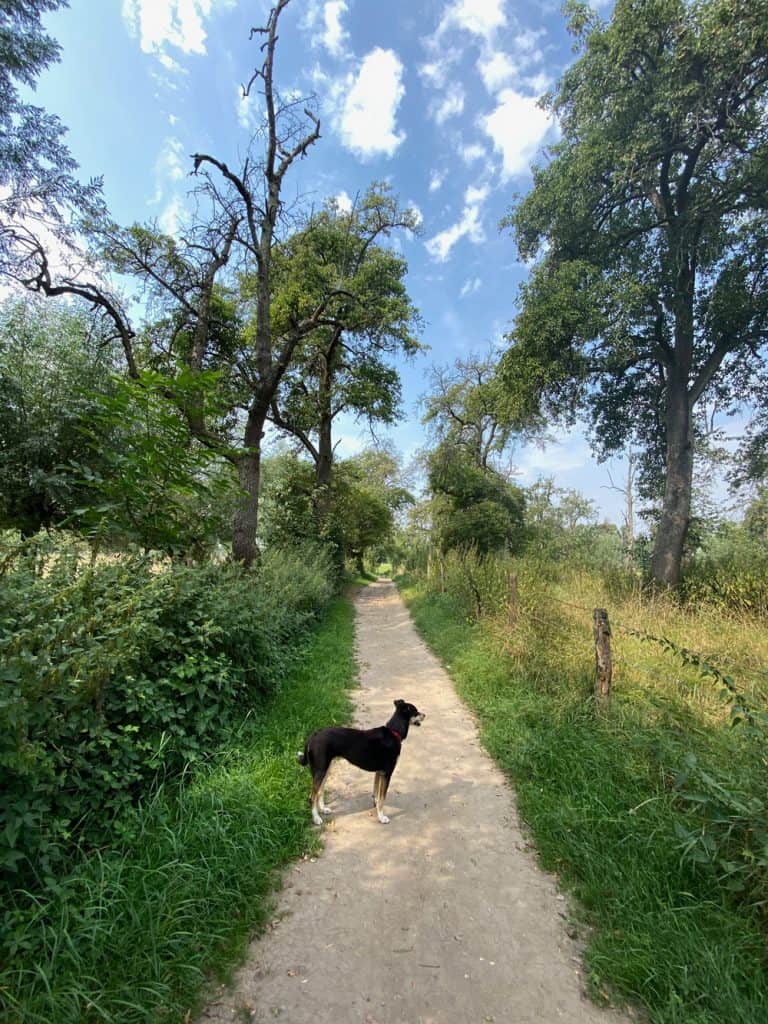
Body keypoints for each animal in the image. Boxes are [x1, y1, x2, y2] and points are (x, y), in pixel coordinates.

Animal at [296, 700, 428, 827]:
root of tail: (314, 735)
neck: (393, 732)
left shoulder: (379, 772)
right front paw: (382, 817)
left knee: (320, 791)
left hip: (325, 770)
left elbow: (376, 794)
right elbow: (382, 798)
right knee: (312, 797)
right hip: (320, 771)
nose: (425, 715)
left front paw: (376, 805)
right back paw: (316, 818)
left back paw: (323, 809)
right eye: (415, 711)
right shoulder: (387, 773)